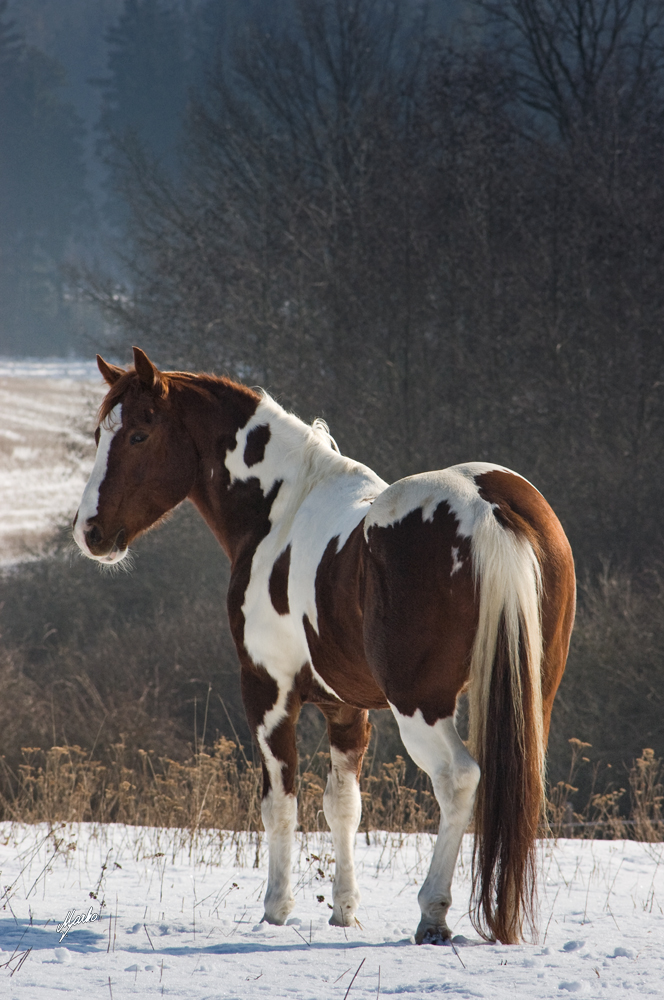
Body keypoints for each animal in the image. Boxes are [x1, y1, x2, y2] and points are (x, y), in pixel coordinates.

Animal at [75, 346, 576, 944]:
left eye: (138, 434)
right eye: (100, 434)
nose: (89, 532)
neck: (281, 511)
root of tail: (487, 505)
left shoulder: (269, 692)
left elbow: (280, 803)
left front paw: (276, 908)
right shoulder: (346, 708)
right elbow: (343, 806)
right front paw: (344, 910)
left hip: (421, 705)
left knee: (459, 779)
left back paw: (433, 913)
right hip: (530, 695)